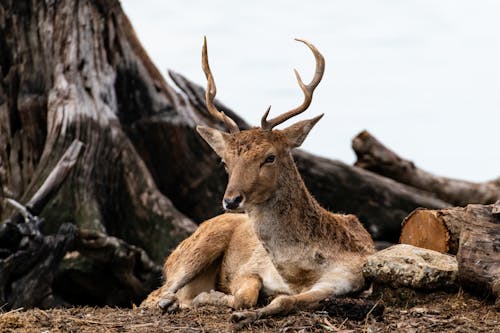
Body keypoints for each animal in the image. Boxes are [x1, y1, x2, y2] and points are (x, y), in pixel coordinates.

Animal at [139, 37, 374, 322]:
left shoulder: (346, 278)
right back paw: (172, 301)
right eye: (225, 161)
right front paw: (213, 298)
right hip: (196, 248)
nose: (231, 200)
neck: (298, 275)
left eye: (270, 157)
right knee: (152, 295)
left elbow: (285, 301)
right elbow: (245, 295)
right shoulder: (251, 267)